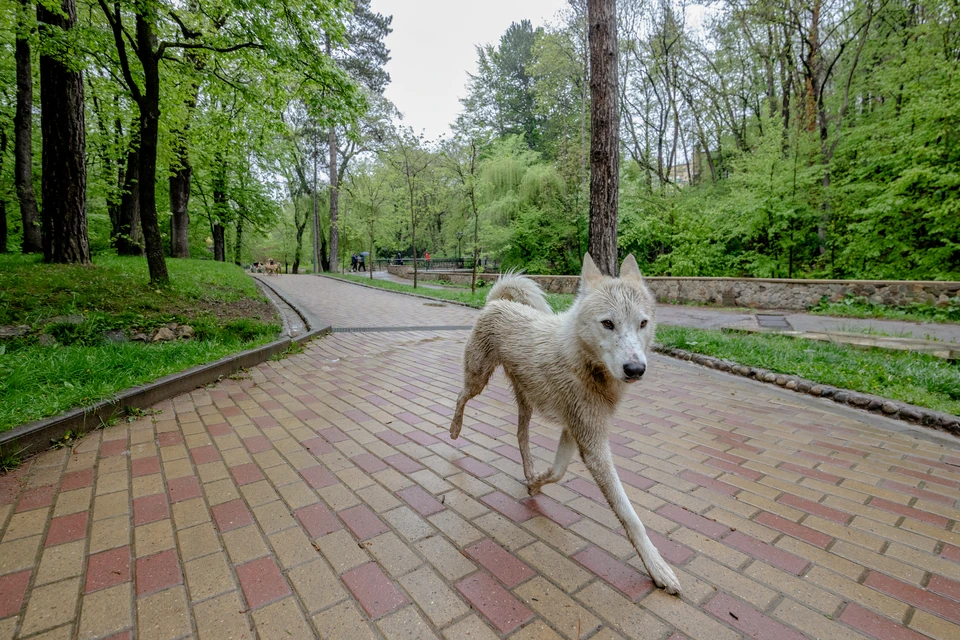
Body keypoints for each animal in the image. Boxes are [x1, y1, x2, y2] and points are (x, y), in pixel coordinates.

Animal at [452, 252, 684, 596]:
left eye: (642, 323)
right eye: (608, 323)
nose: (635, 369)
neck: (585, 363)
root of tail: (496, 302)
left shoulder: (575, 432)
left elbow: (558, 472)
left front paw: (535, 483)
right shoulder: (592, 443)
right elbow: (630, 517)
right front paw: (657, 568)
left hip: (526, 402)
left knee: (520, 436)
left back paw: (529, 470)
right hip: (478, 379)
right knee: (460, 398)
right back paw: (454, 429)